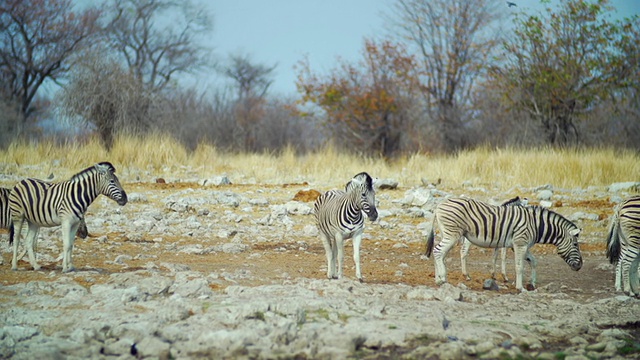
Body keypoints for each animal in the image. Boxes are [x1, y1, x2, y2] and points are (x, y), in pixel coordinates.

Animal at [428, 197, 584, 292]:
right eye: (576, 244)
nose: (580, 266)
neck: (536, 225)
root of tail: (439, 205)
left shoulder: (522, 245)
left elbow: (533, 261)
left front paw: (532, 283)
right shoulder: (520, 243)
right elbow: (519, 266)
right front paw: (520, 288)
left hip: (447, 234)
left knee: (437, 252)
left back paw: (437, 279)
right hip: (452, 234)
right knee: (438, 252)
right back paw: (443, 279)